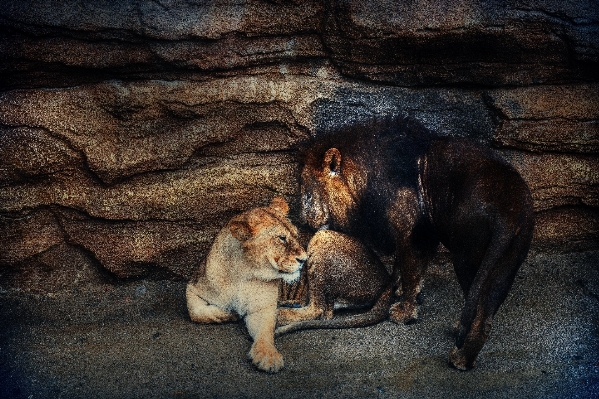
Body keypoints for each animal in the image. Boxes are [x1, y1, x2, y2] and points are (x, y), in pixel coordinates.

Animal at [186, 198, 310, 374]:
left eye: (295, 235)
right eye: (281, 238)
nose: (304, 259)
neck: (242, 273)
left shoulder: (263, 308)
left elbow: (265, 332)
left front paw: (268, 356)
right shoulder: (193, 286)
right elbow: (195, 311)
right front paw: (229, 314)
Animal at [302, 116, 536, 372]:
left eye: (307, 193)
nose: (302, 219)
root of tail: (510, 211)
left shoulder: (410, 230)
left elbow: (410, 269)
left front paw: (404, 312)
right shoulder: (420, 233)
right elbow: (404, 267)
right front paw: (398, 289)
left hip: (468, 256)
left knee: (479, 311)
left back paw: (460, 358)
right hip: (507, 262)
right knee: (486, 315)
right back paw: (462, 343)